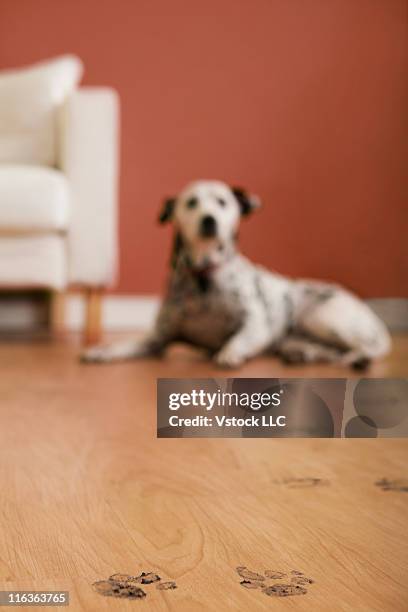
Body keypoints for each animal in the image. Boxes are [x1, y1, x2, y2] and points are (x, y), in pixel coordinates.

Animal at [81, 178, 390, 368]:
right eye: (191, 202)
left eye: (223, 201)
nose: (209, 220)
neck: (204, 277)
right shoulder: (158, 338)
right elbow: (125, 345)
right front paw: (101, 351)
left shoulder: (256, 325)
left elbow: (238, 339)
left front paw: (229, 353)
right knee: (330, 350)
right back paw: (304, 354)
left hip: (321, 316)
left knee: (369, 346)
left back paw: (359, 359)